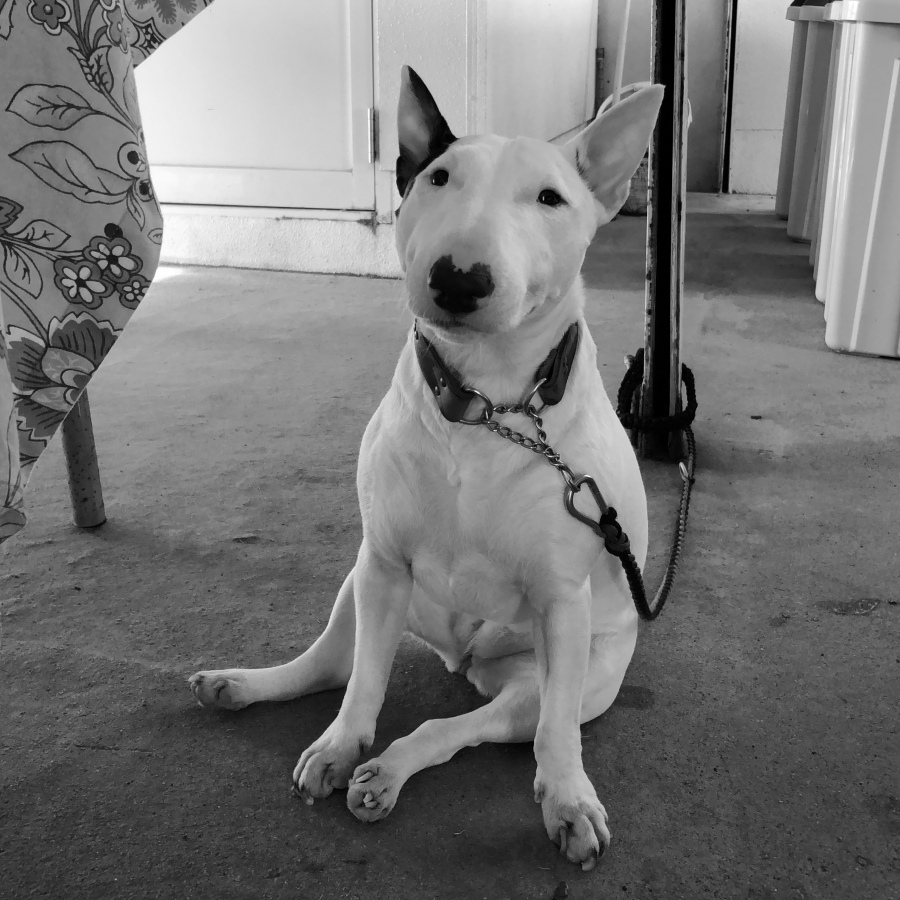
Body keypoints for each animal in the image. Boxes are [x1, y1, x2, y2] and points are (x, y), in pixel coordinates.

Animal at [189, 66, 663, 870]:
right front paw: (339, 745)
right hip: (365, 583)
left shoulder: (562, 603)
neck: (486, 405)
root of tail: (461, 660)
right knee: (336, 664)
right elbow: (364, 687)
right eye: (438, 177)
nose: (459, 278)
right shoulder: (383, 559)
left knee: (483, 724)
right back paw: (248, 689)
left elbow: (554, 737)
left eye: (550, 198)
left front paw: (570, 800)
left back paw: (389, 772)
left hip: (560, 677)